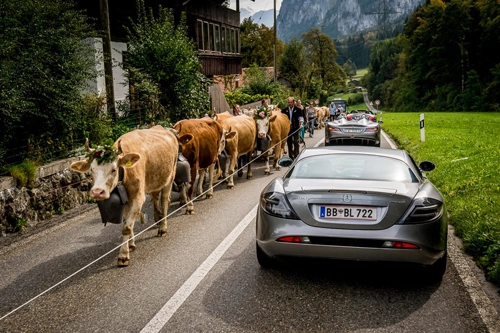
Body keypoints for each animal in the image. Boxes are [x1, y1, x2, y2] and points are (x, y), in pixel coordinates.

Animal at [69, 126, 179, 266]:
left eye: (114, 169)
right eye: (92, 170)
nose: (97, 192)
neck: (125, 172)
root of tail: (164, 129)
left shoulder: (137, 198)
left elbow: (126, 227)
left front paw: (123, 255)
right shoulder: (126, 201)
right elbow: (127, 223)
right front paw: (131, 245)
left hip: (170, 176)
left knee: (165, 201)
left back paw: (163, 228)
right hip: (156, 180)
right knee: (155, 197)